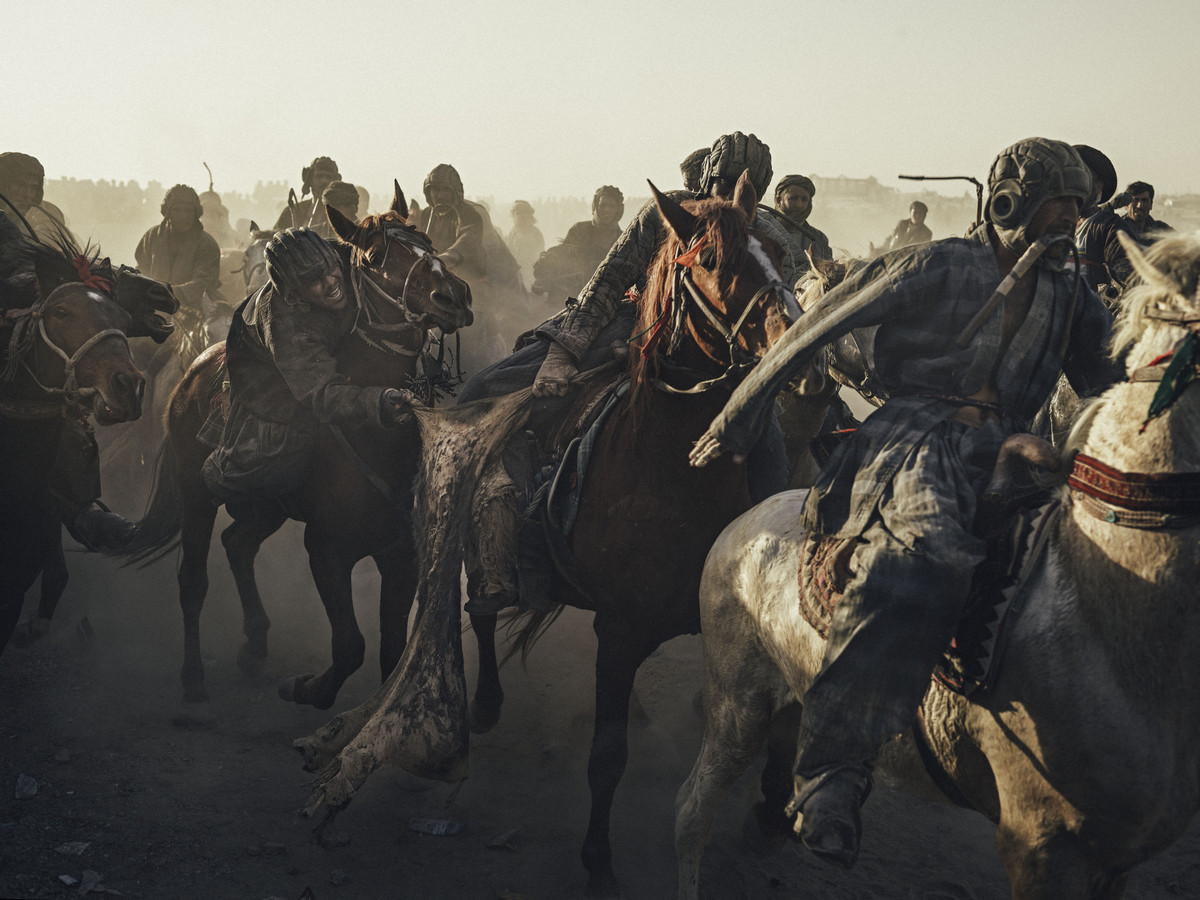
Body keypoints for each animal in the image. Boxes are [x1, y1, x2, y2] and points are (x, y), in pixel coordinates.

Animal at [123, 184, 472, 710]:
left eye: (428, 241)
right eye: (375, 257)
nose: (453, 296)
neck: (374, 439)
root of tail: (190, 374)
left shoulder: (400, 554)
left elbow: (390, 652)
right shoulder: (326, 550)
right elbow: (350, 645)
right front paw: (307, 688)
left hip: (265, 503)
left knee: (238, 544)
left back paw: (254, 646)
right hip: (195, 493)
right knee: (193, 580)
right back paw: (193, 678)